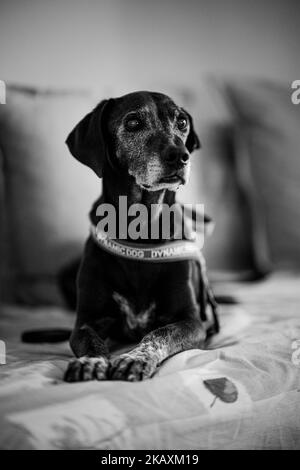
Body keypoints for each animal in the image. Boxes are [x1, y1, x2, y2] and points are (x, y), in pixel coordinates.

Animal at [63, 91, 218, 382]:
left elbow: (158, 334)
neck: (141, 230)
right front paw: (91, 361)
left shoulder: (190, 321)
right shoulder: (87, 321)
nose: (180, 155)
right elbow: (91, 341)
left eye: (181, 121)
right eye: (133, 122)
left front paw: (135, 357)